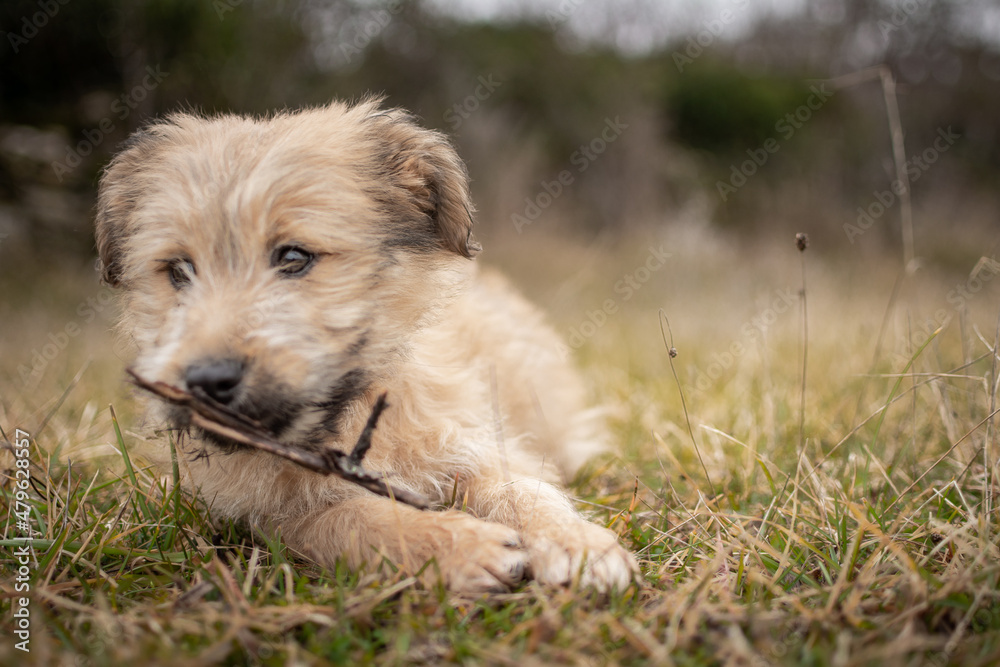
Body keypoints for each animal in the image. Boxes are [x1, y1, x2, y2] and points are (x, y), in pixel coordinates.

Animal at [95, 99, 640, 596]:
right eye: (179, 271)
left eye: (294, 257)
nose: (206, 381)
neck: (345, 417)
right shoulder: (269, 518)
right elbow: (354, 519)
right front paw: (458, 543)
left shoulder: (471, 441)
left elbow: (520, 488)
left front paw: (575, 541)